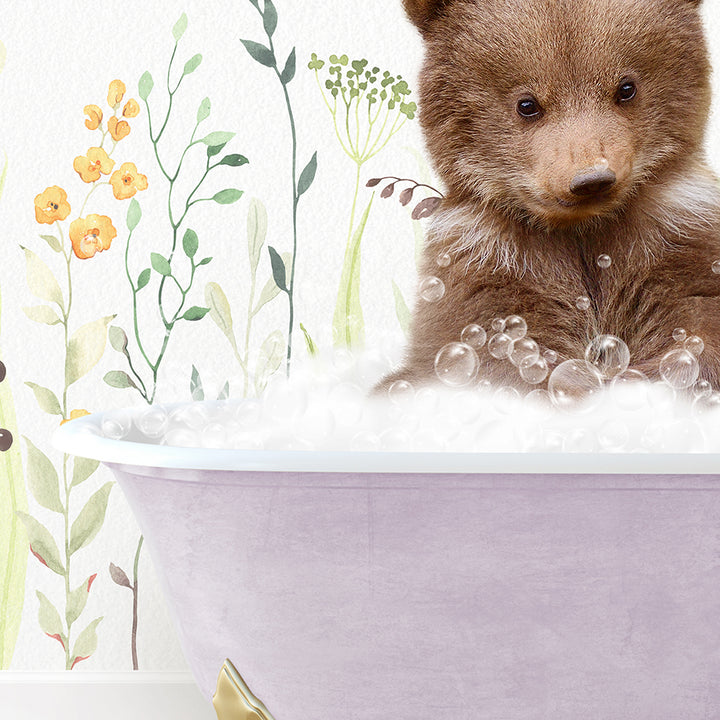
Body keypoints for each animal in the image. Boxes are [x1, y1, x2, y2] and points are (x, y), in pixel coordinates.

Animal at [382, 0, 720, 394]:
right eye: (527, 104)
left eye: (626, 88)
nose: (591, 179)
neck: (582, 229)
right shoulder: (490, 264)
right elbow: (501, 350)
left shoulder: (675, 237)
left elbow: (694, 321)